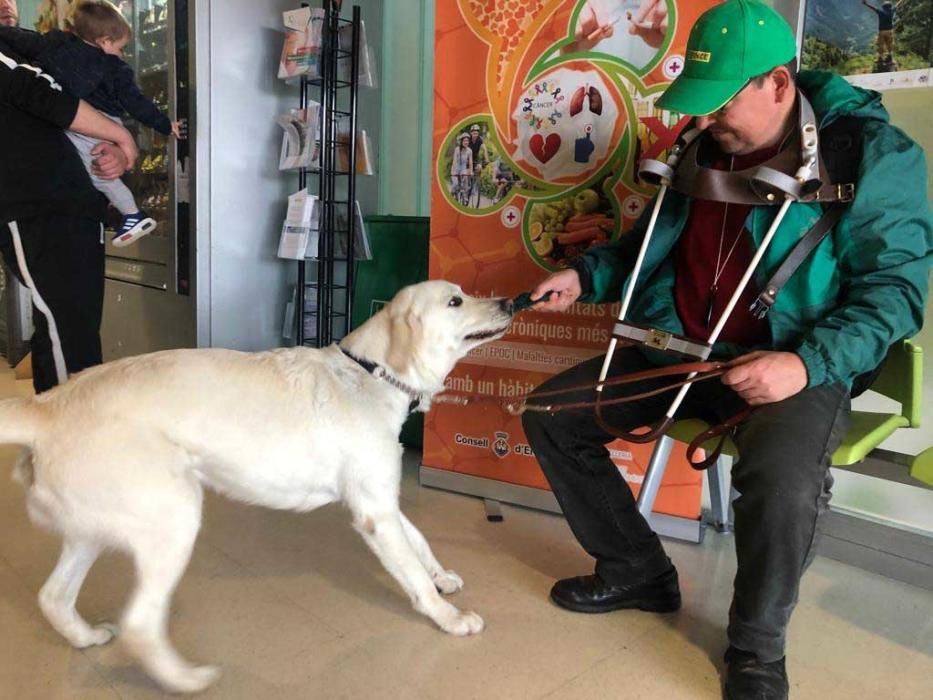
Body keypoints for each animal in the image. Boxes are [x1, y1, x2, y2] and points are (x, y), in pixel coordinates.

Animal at [0, 280, 512, 696]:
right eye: (455, 301)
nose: (511, 301)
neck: (370, 372)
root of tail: (47, 405)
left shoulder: (380, 497)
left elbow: (420, 541)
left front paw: (441, 576)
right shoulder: (375, 513)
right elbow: (412, 574)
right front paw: (448, 618)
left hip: (95, 529)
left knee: (53, 597)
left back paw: (85, 637)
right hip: (173, 519)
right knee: (140, 624)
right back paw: (185, 680)